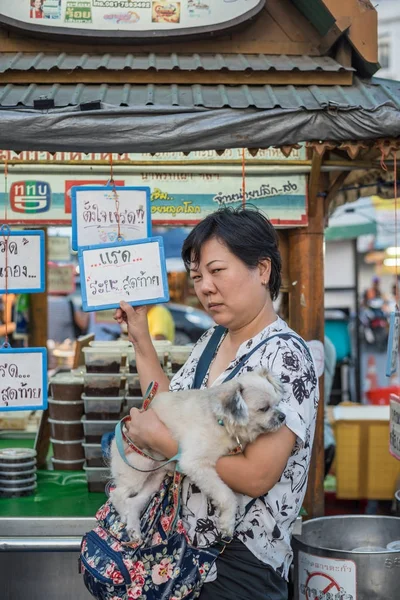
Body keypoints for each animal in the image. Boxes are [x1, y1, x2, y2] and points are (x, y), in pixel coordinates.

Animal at [109, 368, 284, 540]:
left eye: (277, 404)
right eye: (264, 408)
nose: (283, 416)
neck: (220, 421)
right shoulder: (196, 464)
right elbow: (227, 495)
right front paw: (228, 522)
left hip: (154, 480)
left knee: (133, 502)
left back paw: (134, 529)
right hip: (140, 467)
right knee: (117, 494)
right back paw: (124, 515)